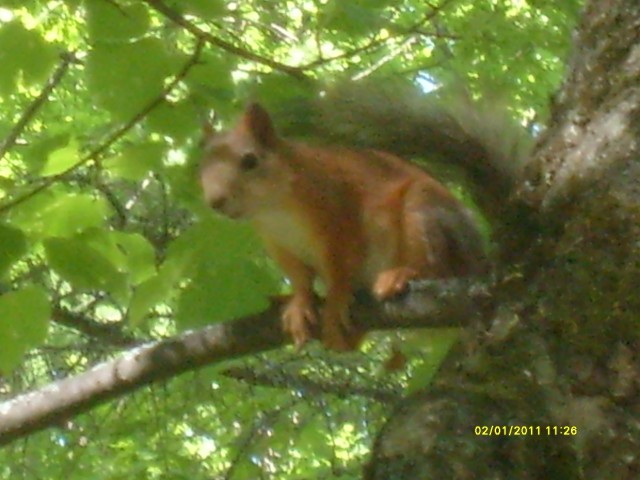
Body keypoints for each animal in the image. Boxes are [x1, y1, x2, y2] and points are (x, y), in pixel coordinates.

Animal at [200, 82, 528, 350]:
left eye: (250, 160)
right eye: (201, 168)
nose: (215, 201)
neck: (275, 209)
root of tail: (479, 264)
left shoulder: (339, 218)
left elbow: (340, 269)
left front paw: (335, 302)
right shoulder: (280, 246)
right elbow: (301, 280)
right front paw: (299, 304)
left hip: (422, 213)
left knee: (435, 269)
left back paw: (401, 275)